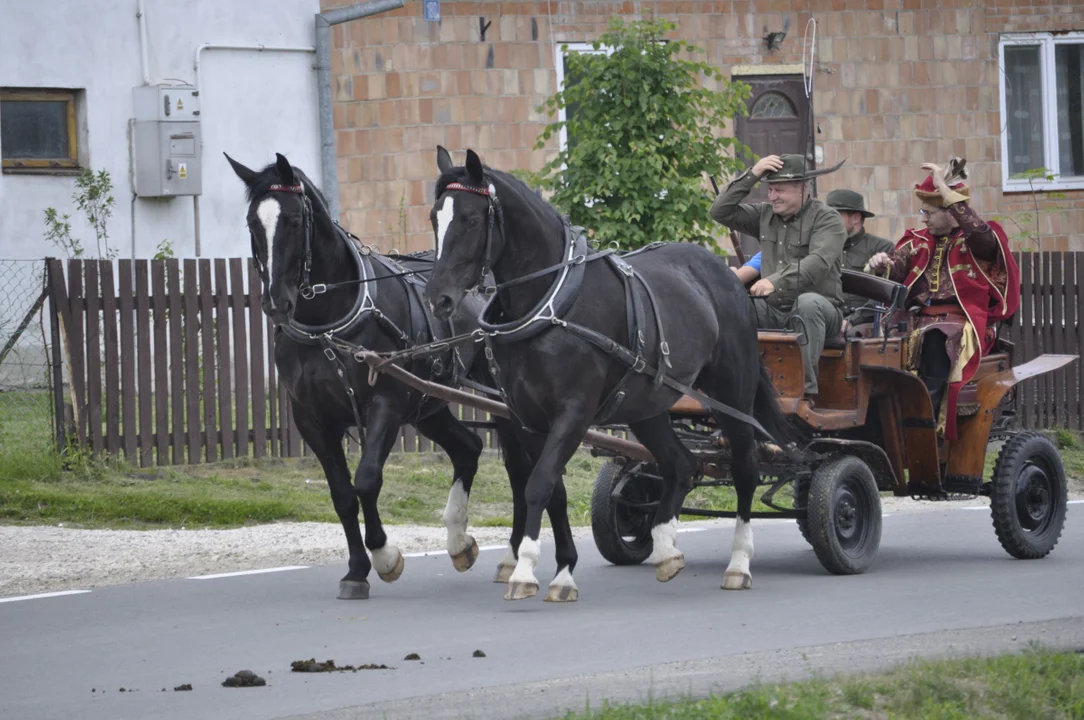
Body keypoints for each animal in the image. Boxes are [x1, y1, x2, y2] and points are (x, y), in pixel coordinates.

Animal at [424, 145, 797, 594]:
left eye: (472, 219)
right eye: (435, 218)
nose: (438, 298)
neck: (552, 304)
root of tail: (727, 276)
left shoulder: (573, 412)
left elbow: (538, 484)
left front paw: (527, 569)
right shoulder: (526, 417)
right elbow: (552, 490)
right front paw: (563, 570)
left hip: (732, 396)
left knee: (745, 469)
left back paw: (739, 563)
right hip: (645, 405)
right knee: (680, 465)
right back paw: (666, 548)